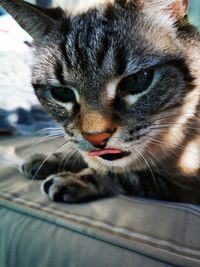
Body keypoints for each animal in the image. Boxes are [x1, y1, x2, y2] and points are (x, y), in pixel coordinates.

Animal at [2, 0, 200, 204]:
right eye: (62, 92)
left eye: (136, 80)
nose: (96, 138)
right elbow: (83, 153)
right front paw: (49, 159)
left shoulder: (184, 187)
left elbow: (123, 174)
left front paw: (76, 179)